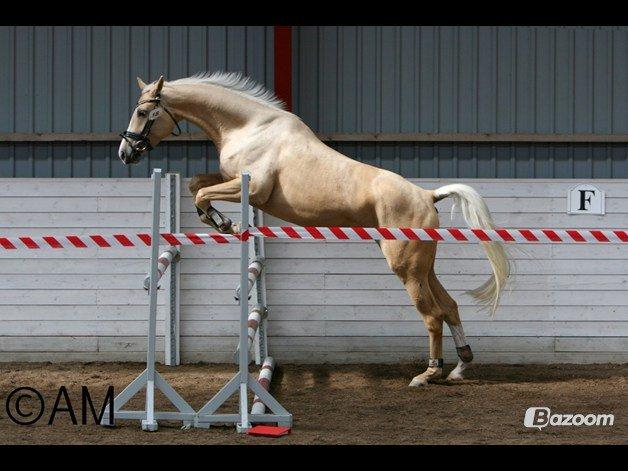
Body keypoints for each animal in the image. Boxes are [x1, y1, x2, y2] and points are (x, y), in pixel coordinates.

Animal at [118, 71, 510, 388]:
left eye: (143, 112)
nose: (126, 153)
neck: (249, 127)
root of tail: (429, 195)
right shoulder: (231, 180)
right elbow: (195, 184)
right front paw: (222, 221)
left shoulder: (253, 189)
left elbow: (201, 192)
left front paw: (225, 222)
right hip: (424, 267)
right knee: (449, 307)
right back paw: (460, 366)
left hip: (406, 268)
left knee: (431, 315)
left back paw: (428, 373)